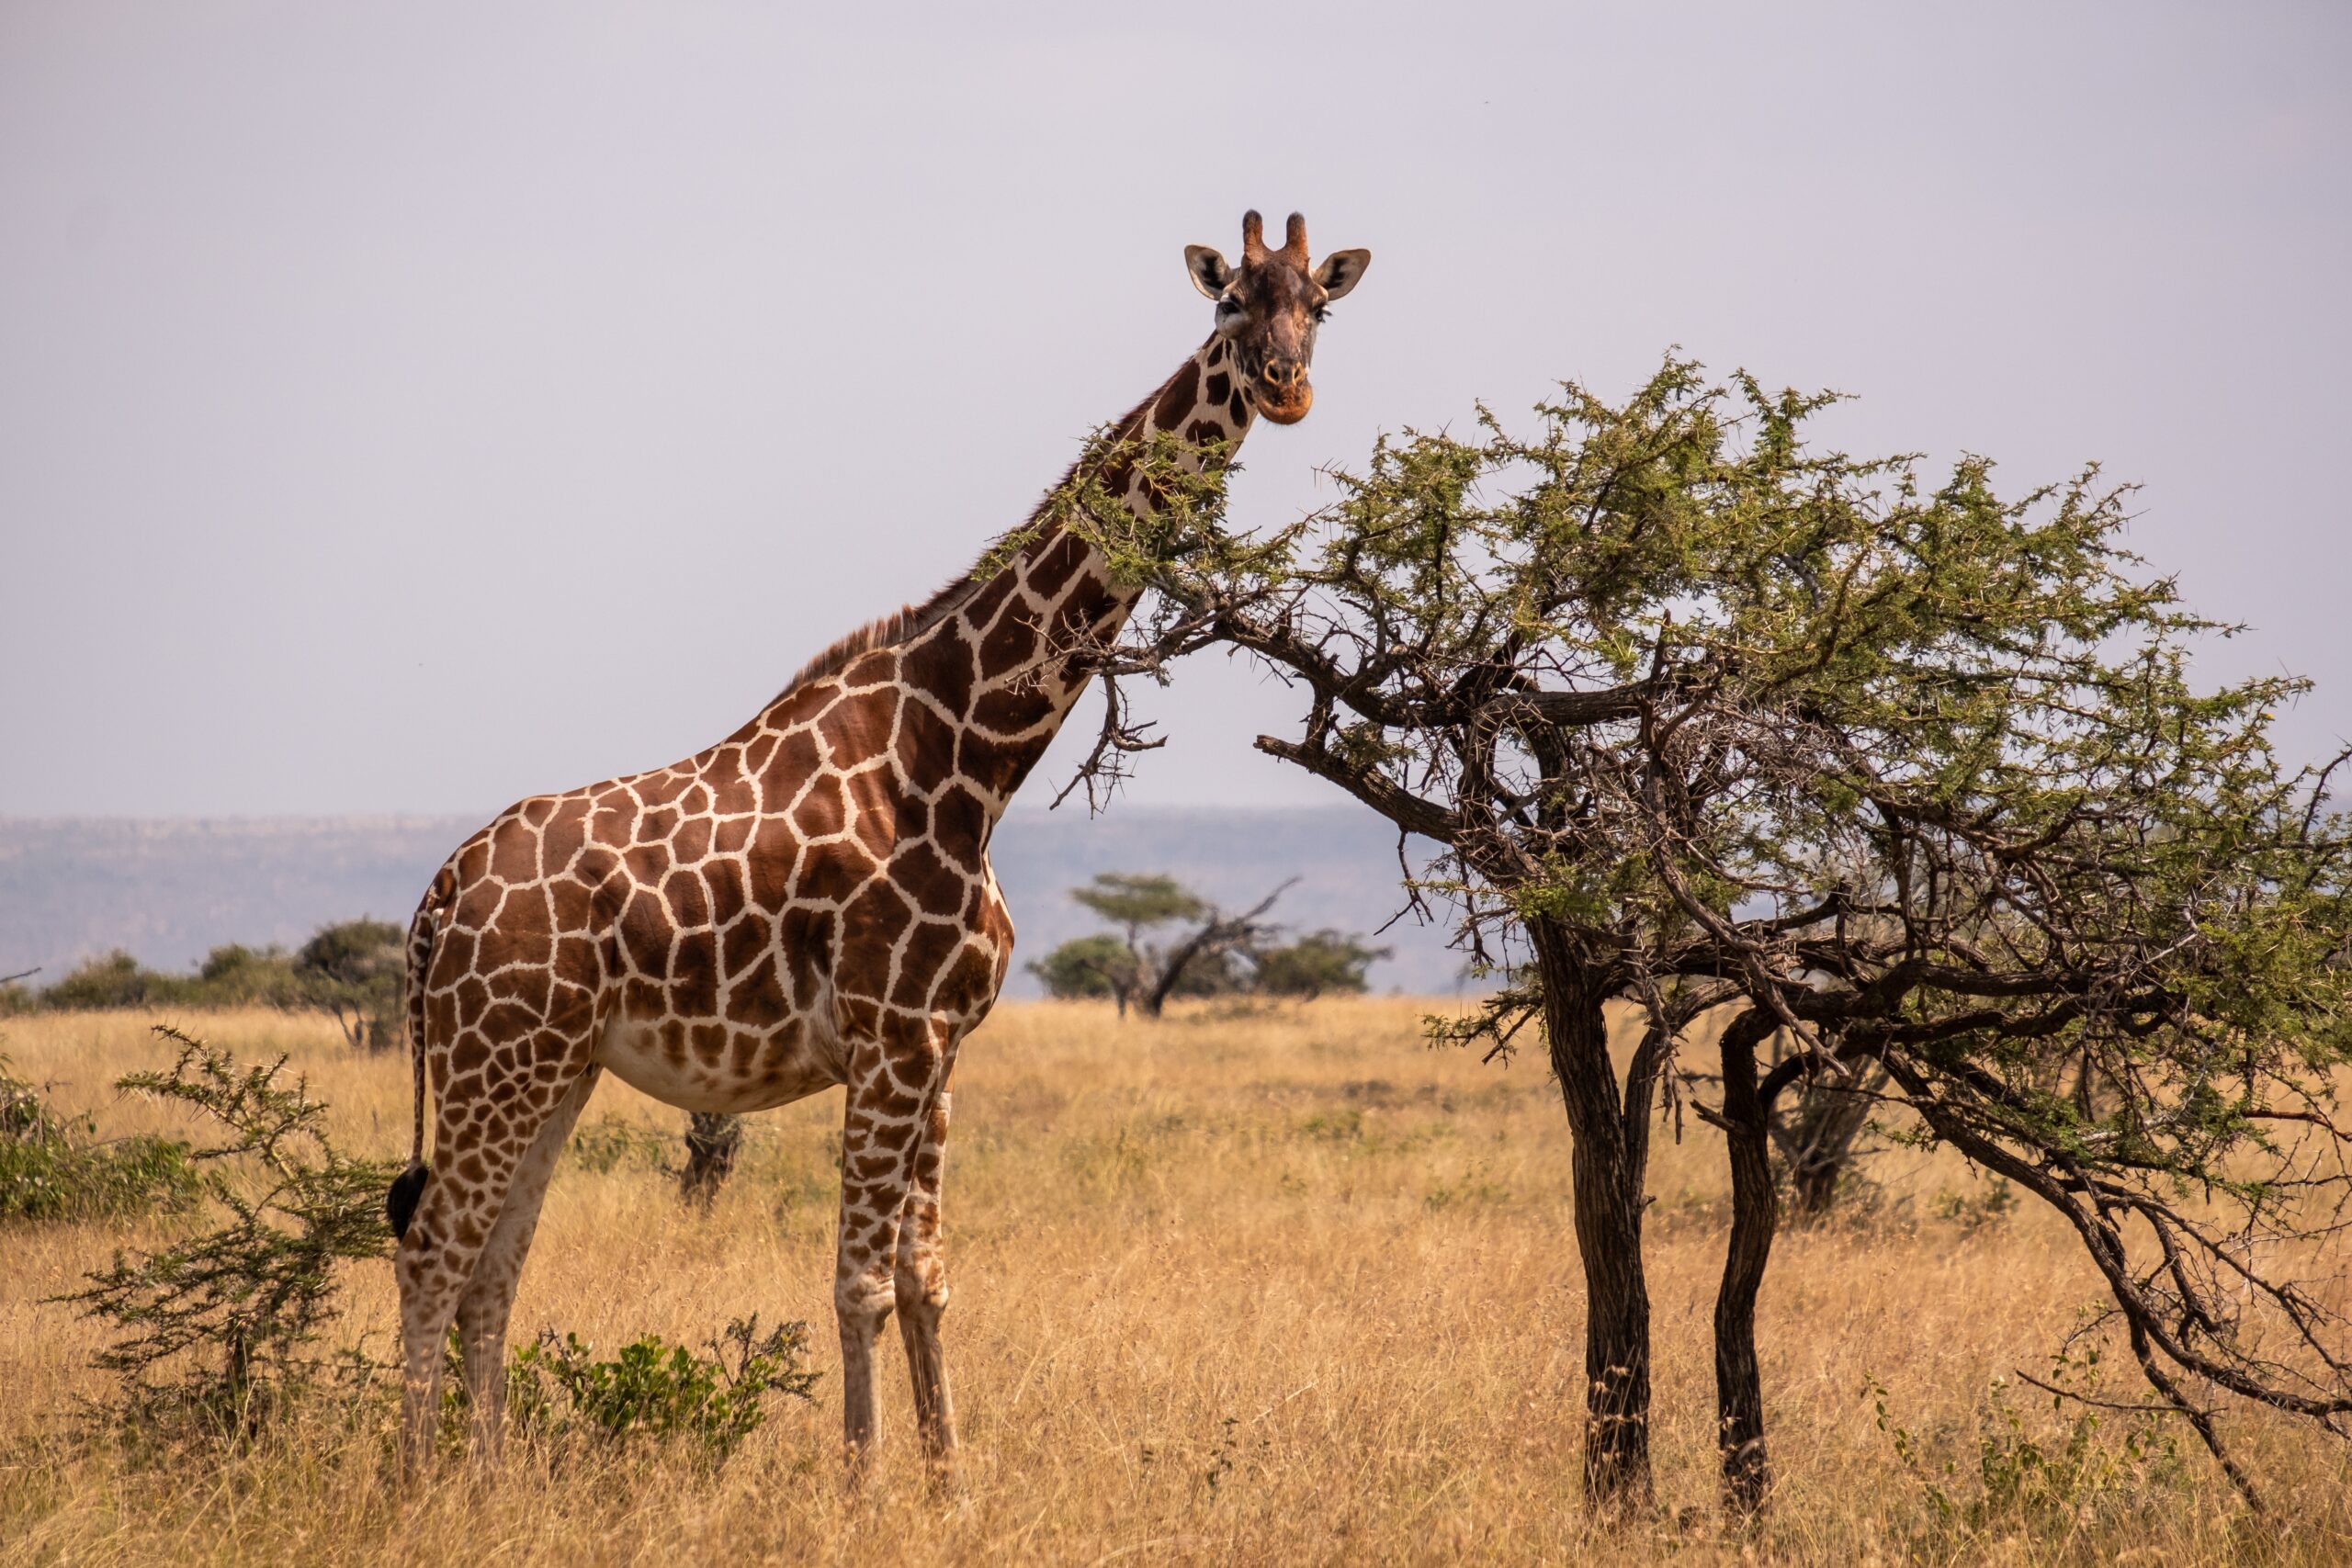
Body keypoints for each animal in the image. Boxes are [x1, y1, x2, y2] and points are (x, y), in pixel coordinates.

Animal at [387, 210, 1370, 1474]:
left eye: (1319, 305)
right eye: (1229, 303)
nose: (1287, 386)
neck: (968, 750)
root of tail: (438, 898)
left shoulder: (944, 1047)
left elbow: (926, 1281)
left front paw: (948, 1482)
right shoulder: (890, 1036)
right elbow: (855, 1282)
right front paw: (861, 1482)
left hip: (555, 1066)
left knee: (493, 1267)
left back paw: (490, 1483)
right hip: (494, 1058)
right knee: (434, 1253)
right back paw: (416, 1488)